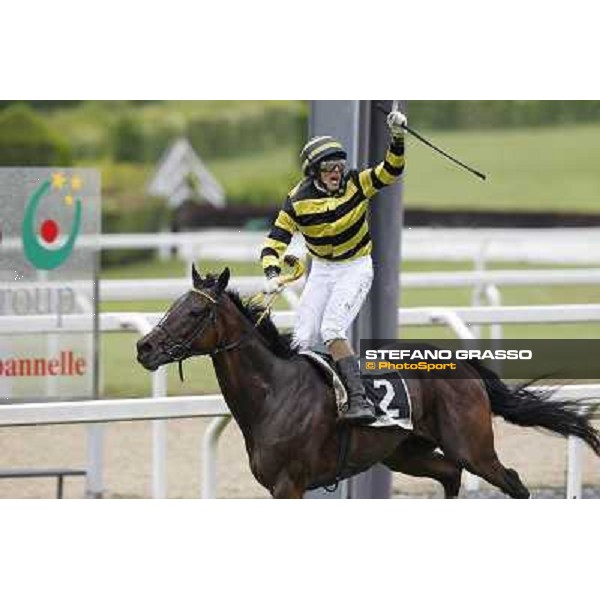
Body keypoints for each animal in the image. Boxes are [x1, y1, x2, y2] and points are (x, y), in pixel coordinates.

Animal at [136, 266, 600, 496]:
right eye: (173, 305)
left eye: (196, 312)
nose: (144, 347)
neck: (273, 393)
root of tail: (463, 365)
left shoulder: (290, 485)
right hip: (404, 452)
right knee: (449, 475)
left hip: (473, 448)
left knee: (512, 483)